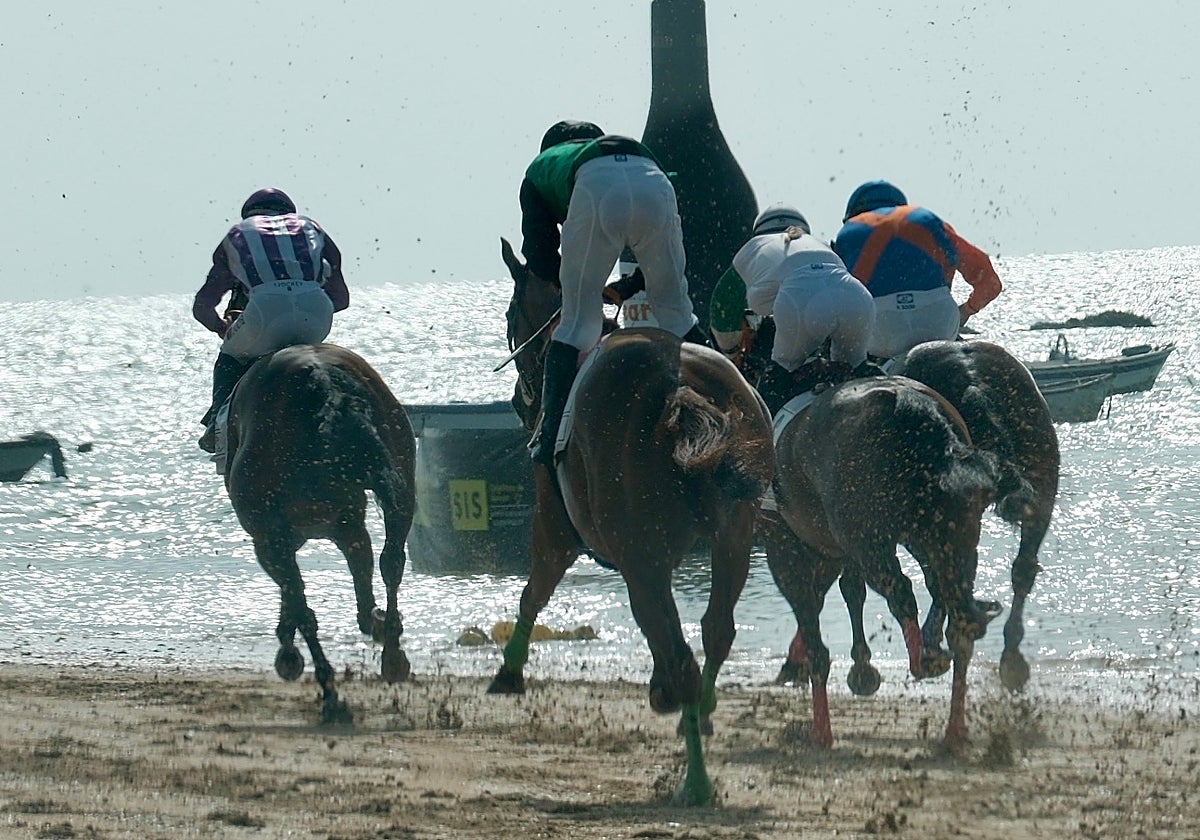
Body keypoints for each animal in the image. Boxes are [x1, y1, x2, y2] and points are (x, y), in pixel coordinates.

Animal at [224, 343, 416, 724]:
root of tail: (323, 380)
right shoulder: (344, 525)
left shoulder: (270, 539)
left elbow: (297, 599)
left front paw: (290, 653)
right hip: (399, 480)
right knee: (391, 562)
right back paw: (391, 650)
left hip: (275, 533)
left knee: (309, 609)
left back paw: (331, 693)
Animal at [490, 238, 774, 805]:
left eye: (510, 315)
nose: (517, 398)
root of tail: (679, 389)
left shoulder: (558, 526)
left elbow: (535, 589)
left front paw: (509, 670)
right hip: (732, 534)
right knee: (716, 630)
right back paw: (697, 712)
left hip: (644, 555)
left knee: (682, 652)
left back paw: (695, 778)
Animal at [762, 375, 1002, 748]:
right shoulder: (836, 552)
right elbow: (848, 592)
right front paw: (857, 669)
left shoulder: (786, 548)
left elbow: (815, 620)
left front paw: (820, 726)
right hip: (950, 536)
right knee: (955, 609)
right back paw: (954, 727)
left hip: (872, 541)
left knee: (900, 589)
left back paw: (923, 660)